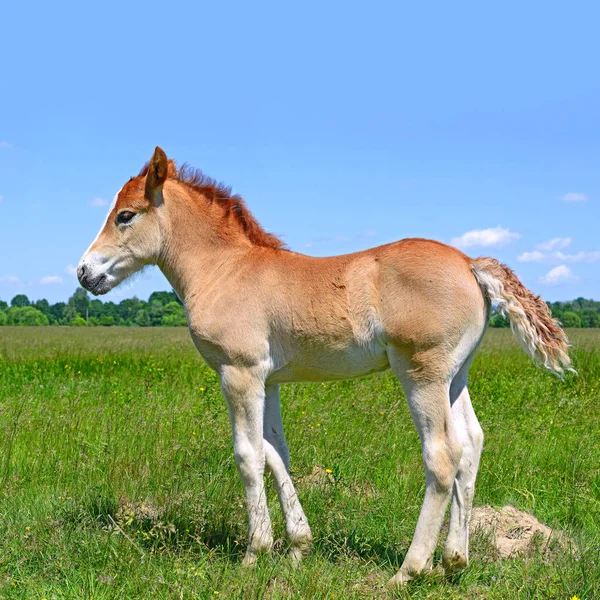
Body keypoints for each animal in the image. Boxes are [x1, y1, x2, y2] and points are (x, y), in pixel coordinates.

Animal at [77, 146, 568, 584]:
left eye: (125, 215)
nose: (84, 273)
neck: (225, 270)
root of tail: (470, 263)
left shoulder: (239, 374)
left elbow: (247, 456)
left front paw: (254, 554)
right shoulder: (269, 380)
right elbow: (277, 454)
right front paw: (298, 548)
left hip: (421, 374)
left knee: (443, 456)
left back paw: (407, 571)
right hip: (455, 377)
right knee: (472, 444)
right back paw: (453, 562)